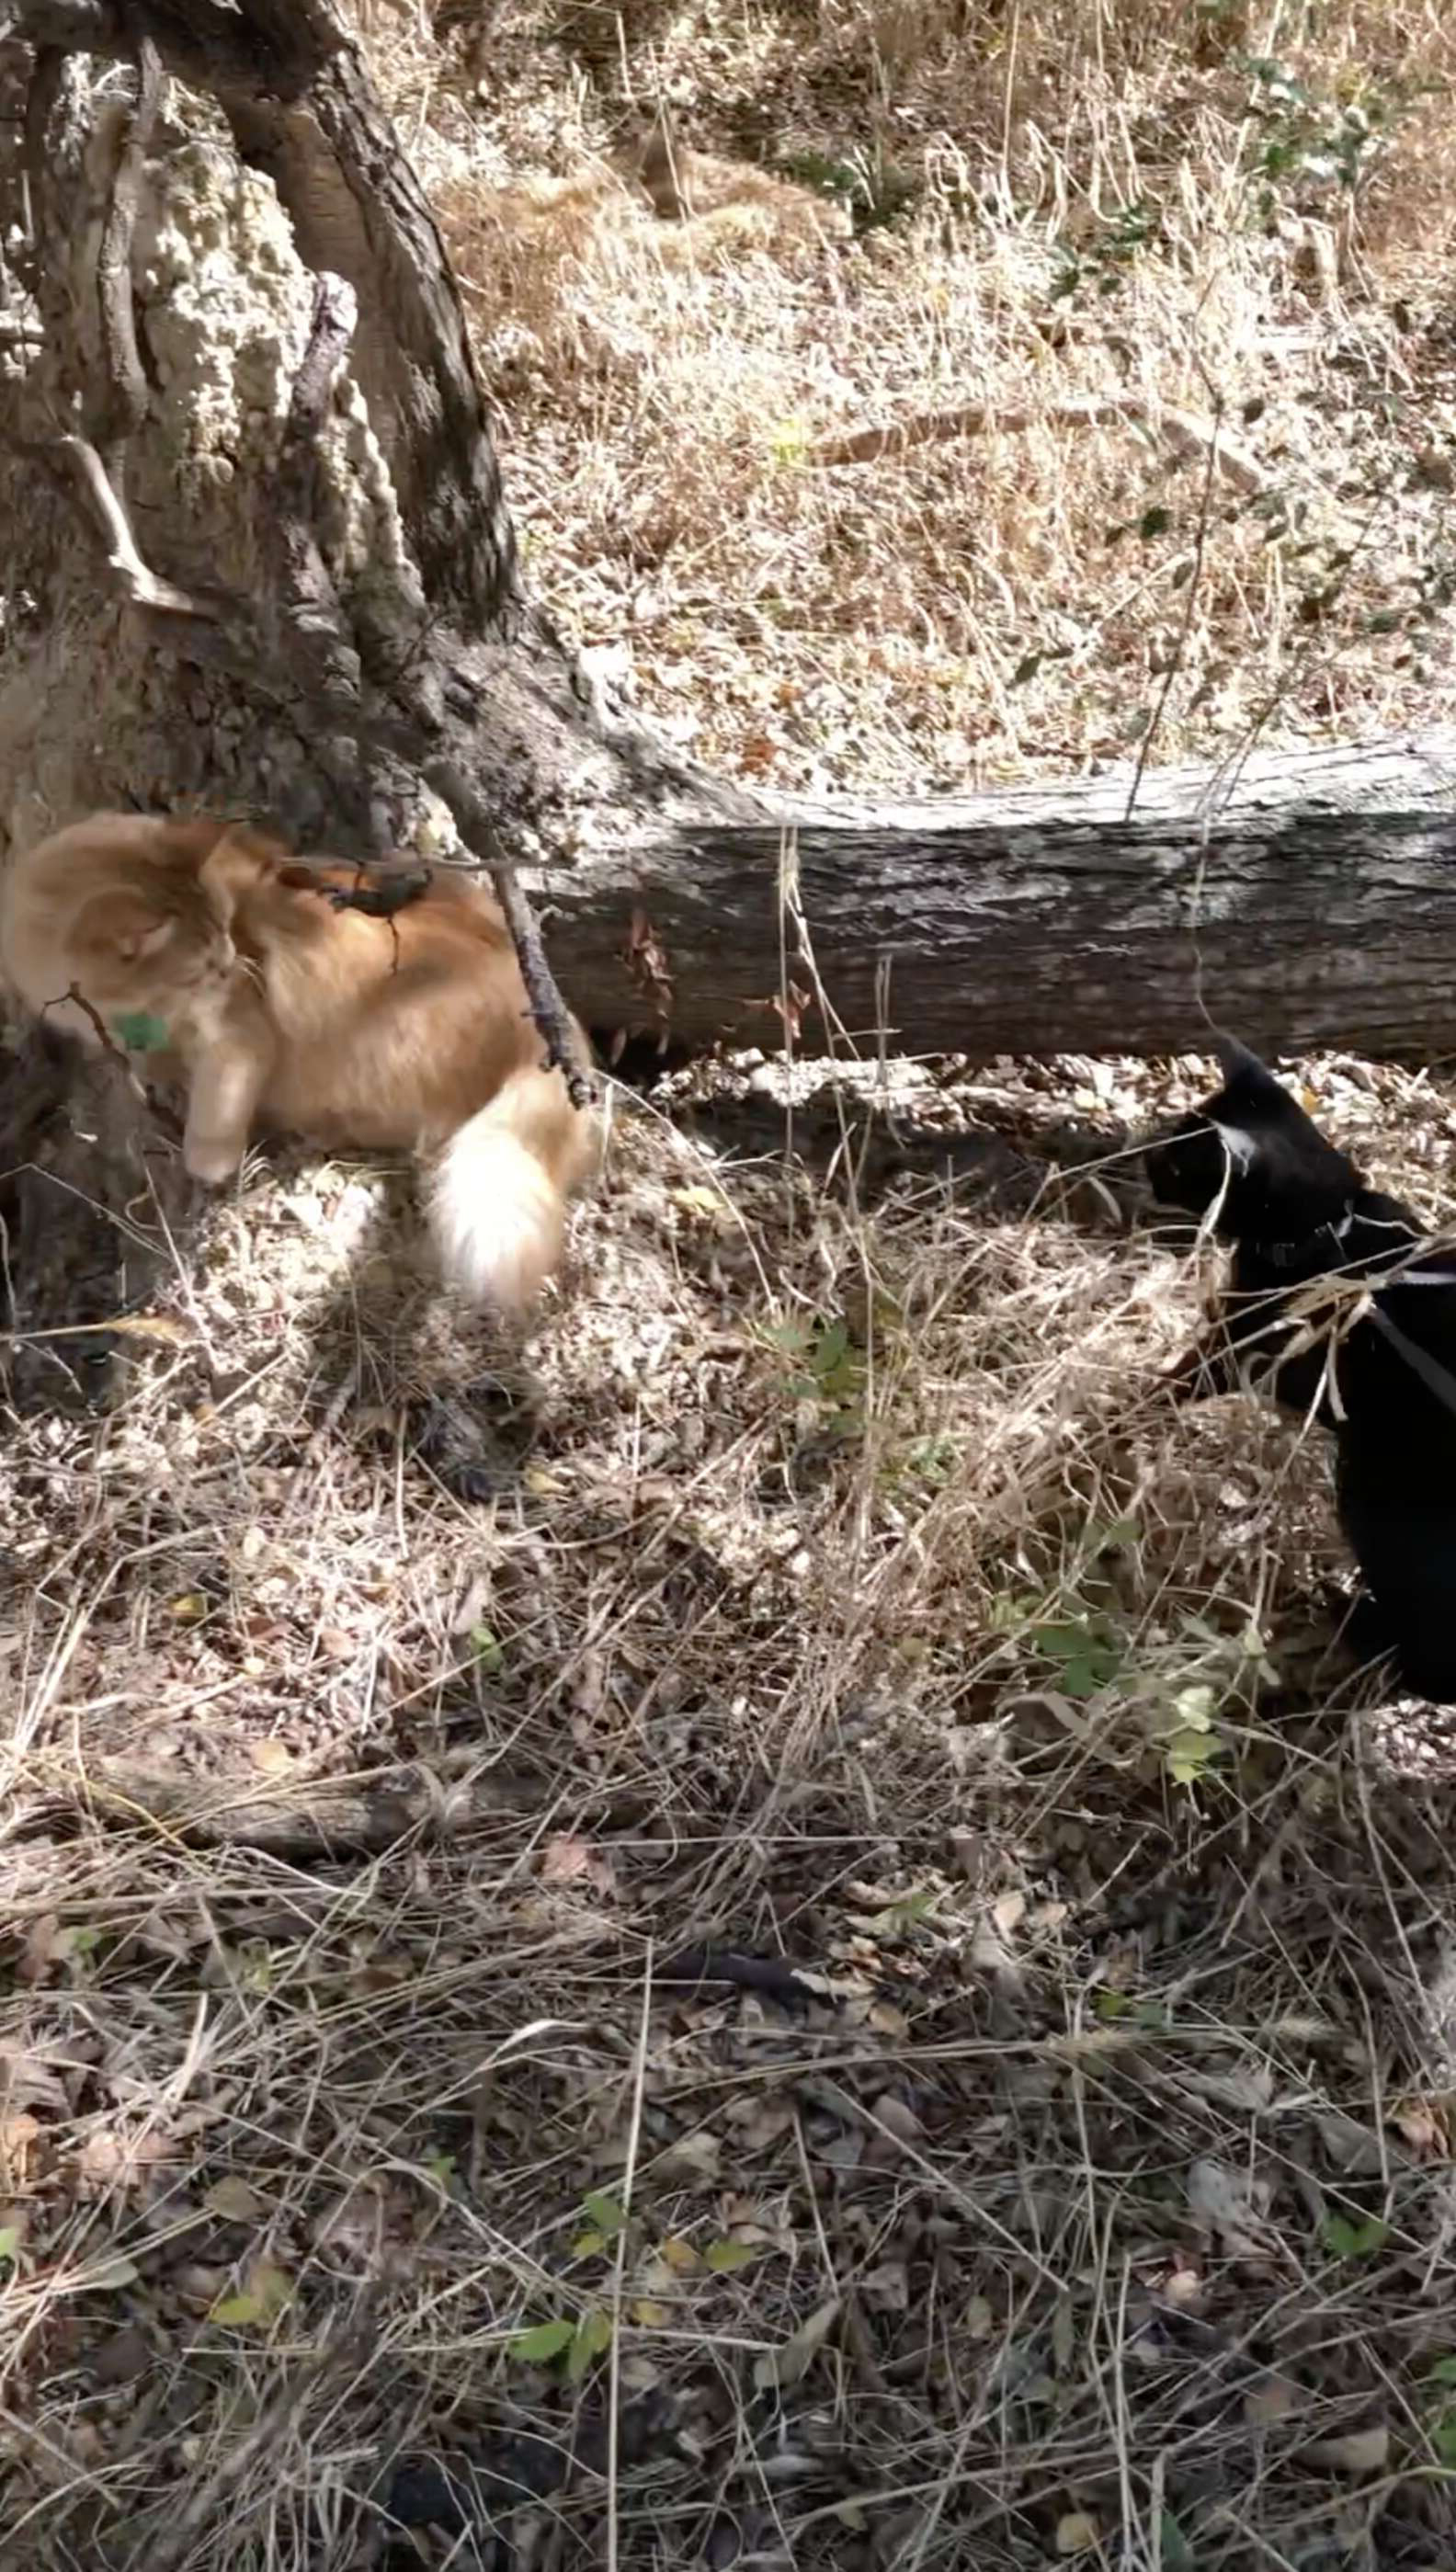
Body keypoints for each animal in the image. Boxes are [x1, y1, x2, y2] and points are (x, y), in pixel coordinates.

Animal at [0, 811, 599, 1314]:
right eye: (200, 965)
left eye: (225, 940)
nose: (231, 963)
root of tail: (547, 1017)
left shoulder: (239, 1032)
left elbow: (216, 1111)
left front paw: (206, 1162)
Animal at [1145, 1035, 1456, 1702]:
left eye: (1179, 1163)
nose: (1148, 1164)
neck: (1323, 1224)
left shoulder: (1238, 1347)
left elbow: (1167, 1385)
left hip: (1373, 1493)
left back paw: (1356, 1628)